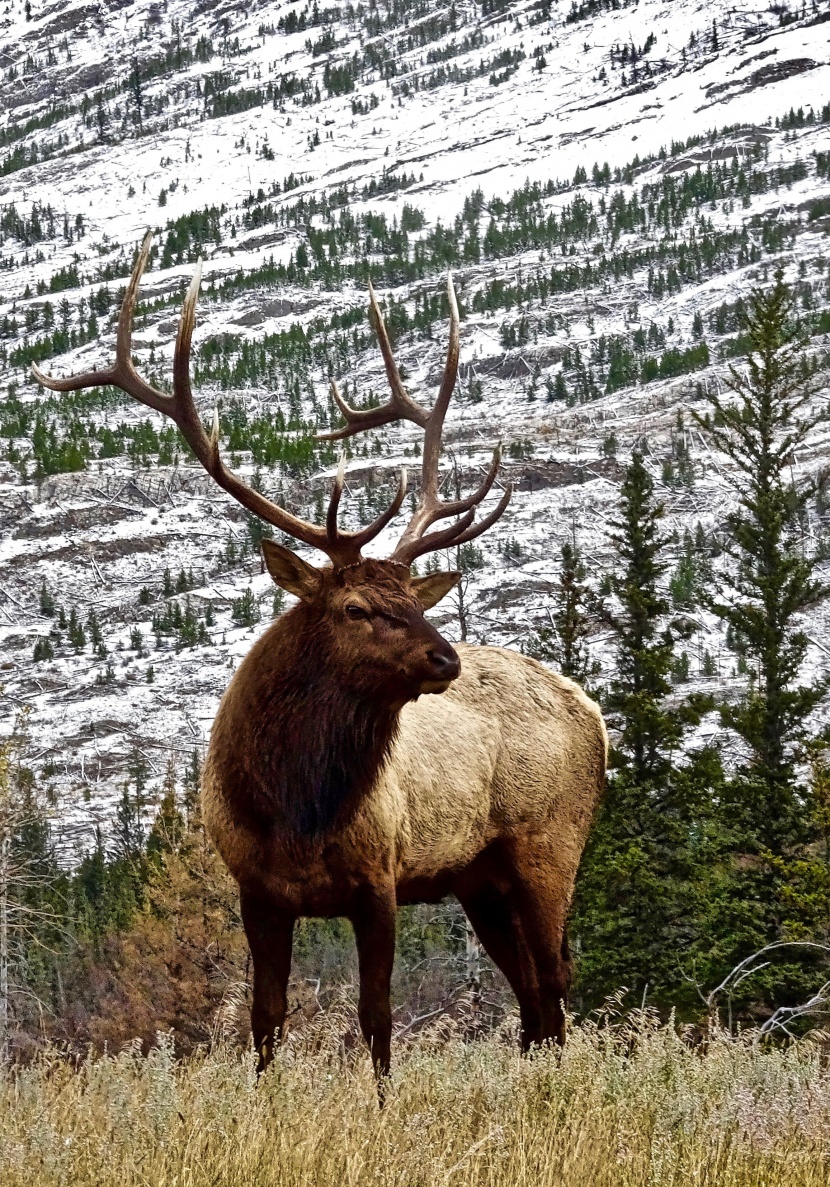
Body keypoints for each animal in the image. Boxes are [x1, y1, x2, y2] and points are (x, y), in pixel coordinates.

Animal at [34, 229, 603, 1077]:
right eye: (357, 607)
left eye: (416, 601)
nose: (446, 660)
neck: (294, 808)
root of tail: (592, 710)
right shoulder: (258, 890)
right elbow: (267, 1019)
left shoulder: (380, 880)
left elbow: (377, 1018)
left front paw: (382, 1101)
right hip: (479, 877)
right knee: (534, 998)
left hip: (548, 844)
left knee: (557, 983)